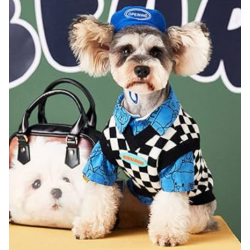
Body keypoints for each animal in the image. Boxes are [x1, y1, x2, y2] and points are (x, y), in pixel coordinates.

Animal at [69, 5, 218, 246]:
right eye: (126, 50)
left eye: (156, 52)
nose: (141, 69)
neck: (141, 114)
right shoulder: (102, 159)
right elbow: (99, 192)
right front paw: (90, 226)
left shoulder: (177, 166)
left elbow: (170, 202)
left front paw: (167, 234)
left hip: (197, 212)